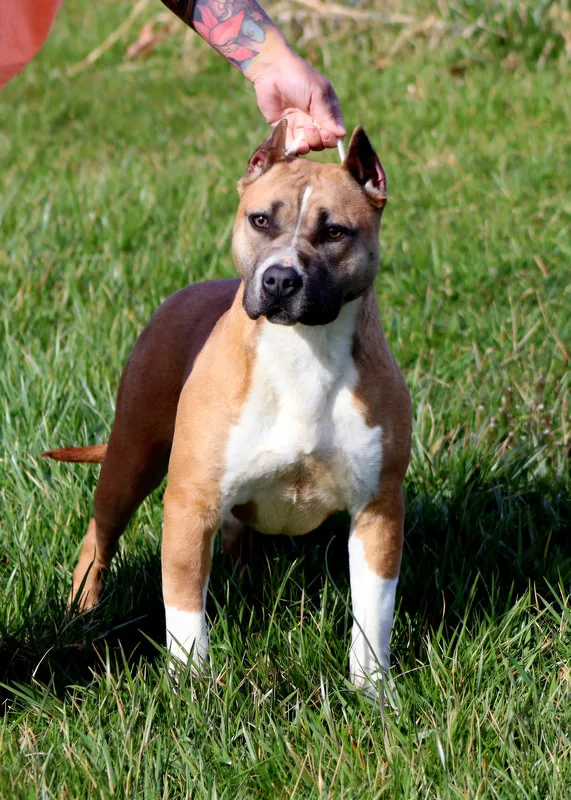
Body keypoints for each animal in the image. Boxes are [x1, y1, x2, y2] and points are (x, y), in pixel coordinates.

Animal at [44, 122, 412, 693]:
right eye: (260, 219)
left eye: (335, 232)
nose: (280, 279)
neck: (303, 350)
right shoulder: (189, 505)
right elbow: (184, 610)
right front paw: (191, 686)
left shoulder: (378, 510)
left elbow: (374, 612)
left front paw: (372, 691)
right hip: (130, 460)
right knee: (99, 536)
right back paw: (83, 610)